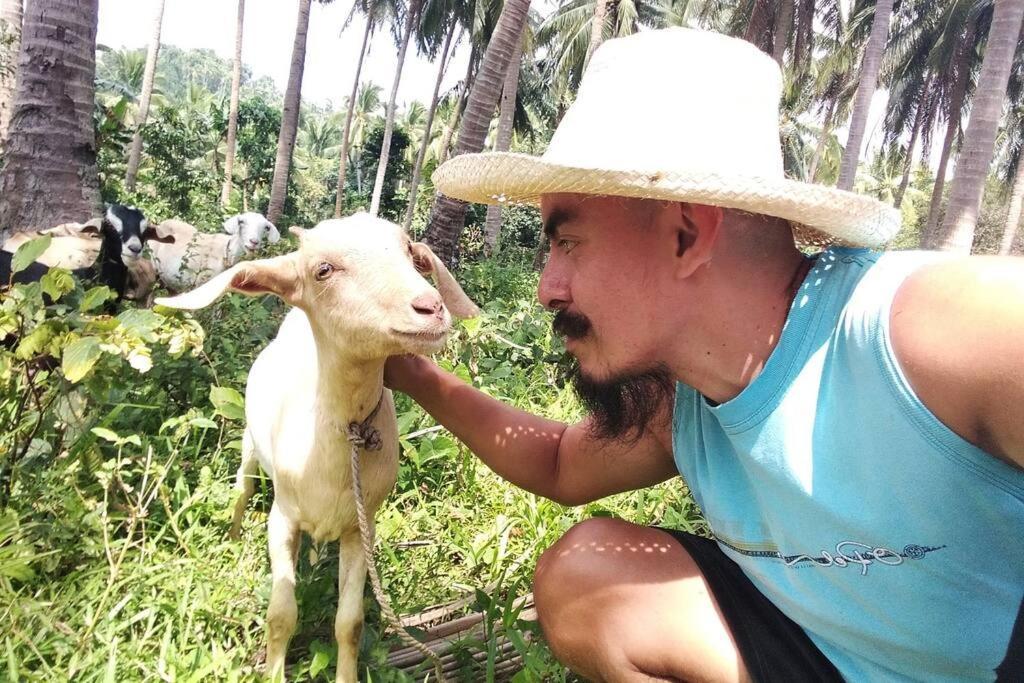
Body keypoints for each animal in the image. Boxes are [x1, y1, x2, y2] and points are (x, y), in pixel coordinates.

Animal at [156, 215, 479, 683]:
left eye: (408, 251)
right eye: (322, 269)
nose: (430, 307)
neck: (340, 433)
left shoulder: (361, 528)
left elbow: (349, 622)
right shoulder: (282, 518)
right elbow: (281, 614)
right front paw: (274, 671)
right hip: (250, 445)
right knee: (242, 491)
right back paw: (233, 539)